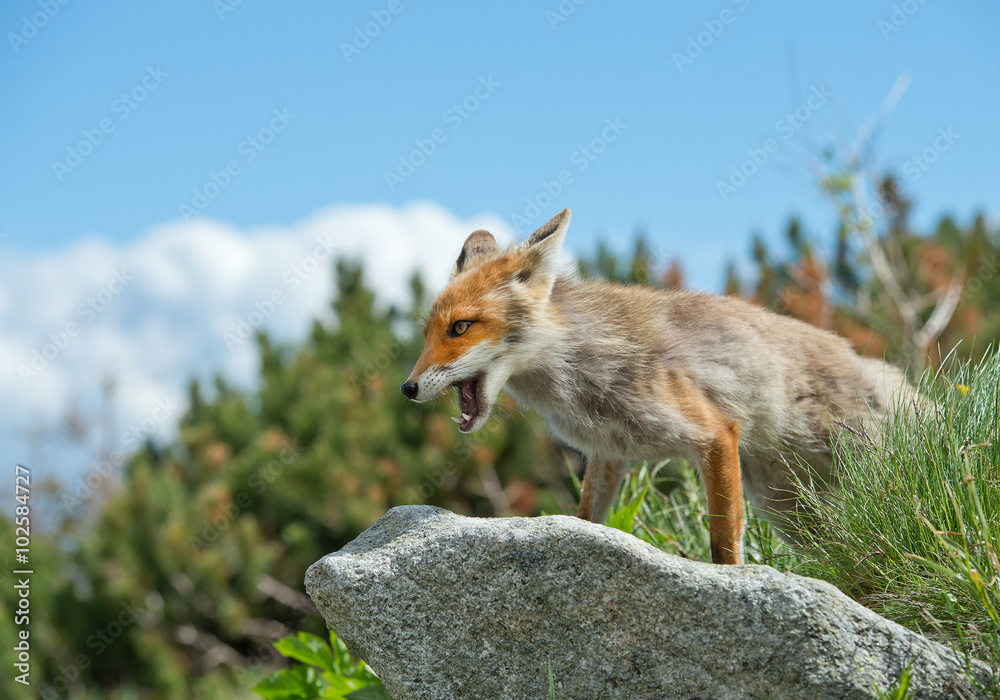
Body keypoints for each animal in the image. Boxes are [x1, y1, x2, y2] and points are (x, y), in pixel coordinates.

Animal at [401, 209, 913, 564]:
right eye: (427, 334)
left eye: (460, 328)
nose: (407, 388)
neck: (579, 367)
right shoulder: (609, 454)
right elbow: (585, 521)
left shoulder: (716, 434)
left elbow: (724, 545)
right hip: (789, 511)